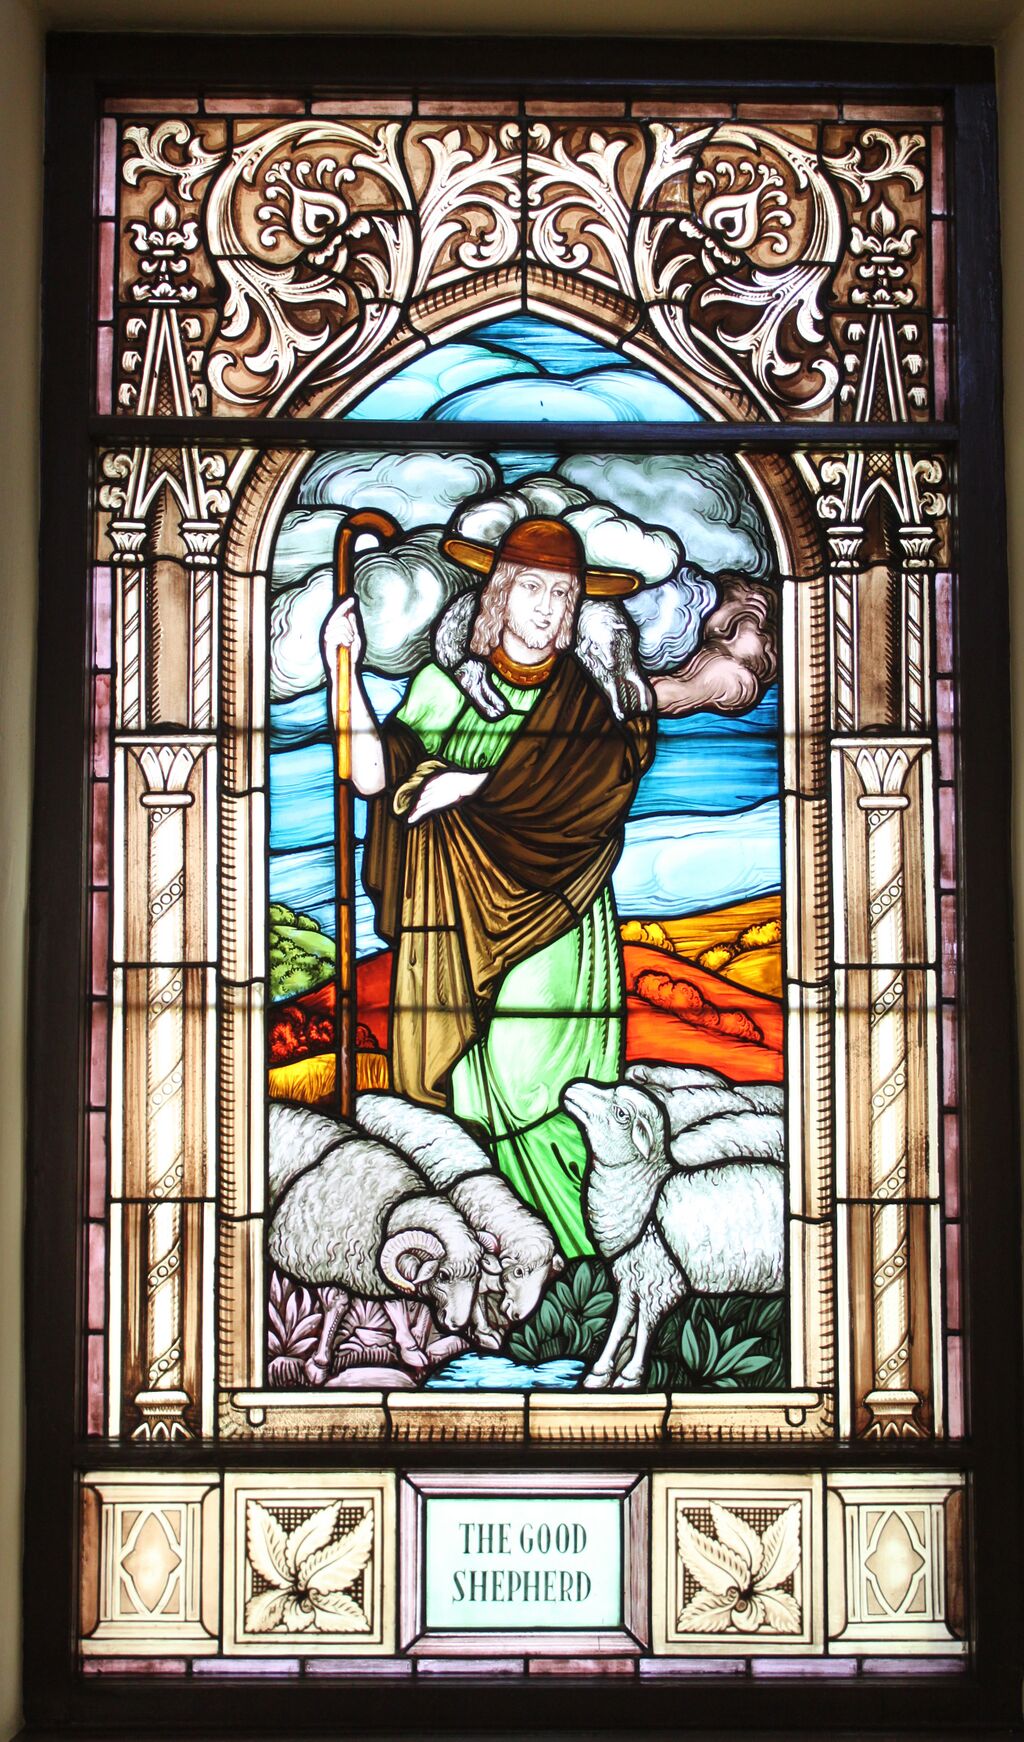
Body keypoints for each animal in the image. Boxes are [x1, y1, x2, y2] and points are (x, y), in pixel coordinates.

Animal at [268, 1102, 488, 1383]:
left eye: (475, 1276)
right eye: (443, 1276)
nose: (457, 1325)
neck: (388, 1210)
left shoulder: (371, 1267)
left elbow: (393, 1304)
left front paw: (410, 1349)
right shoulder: (318, 1259)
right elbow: (337, 1303)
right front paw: (318, 1365)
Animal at [562, 1078, 784, 1389]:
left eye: (621, 1113)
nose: (573, 1088)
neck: (647, 1194)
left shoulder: (663, 1281)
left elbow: (646, 1324)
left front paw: (630, 1376)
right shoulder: (630, 1276)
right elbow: (621, 1322)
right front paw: (599, 1372)